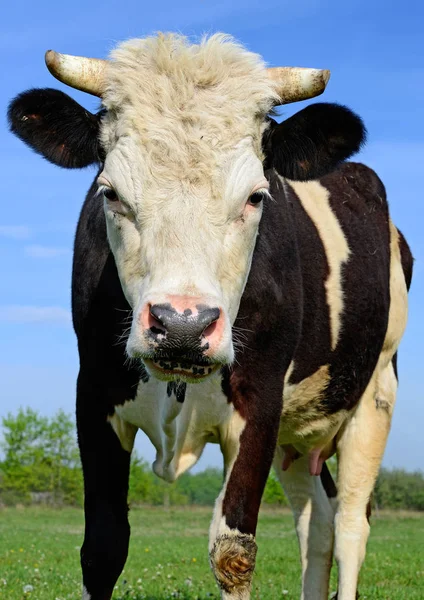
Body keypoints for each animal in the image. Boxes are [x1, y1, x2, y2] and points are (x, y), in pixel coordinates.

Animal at [8, 32, 412, 600]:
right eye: (110, 193)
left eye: (256, 196)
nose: (183, 325)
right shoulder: (93, 394)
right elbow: (102, 548)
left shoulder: (260, 402)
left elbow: (233, 552)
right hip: (297, 433)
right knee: (318, 523)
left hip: (376, 393)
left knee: (352, 523)